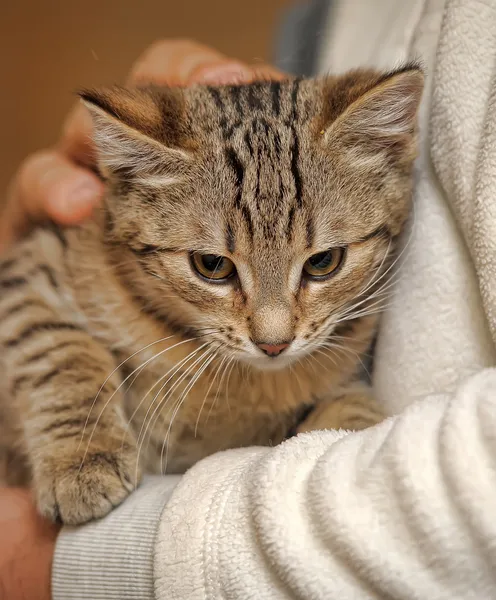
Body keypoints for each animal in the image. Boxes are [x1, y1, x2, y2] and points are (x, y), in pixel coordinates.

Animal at [0, 65, 422, 524]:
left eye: (324, 261)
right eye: (212, 265)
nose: (273, 344)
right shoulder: (30, 267)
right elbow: (58, 349)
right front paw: (83, 458)